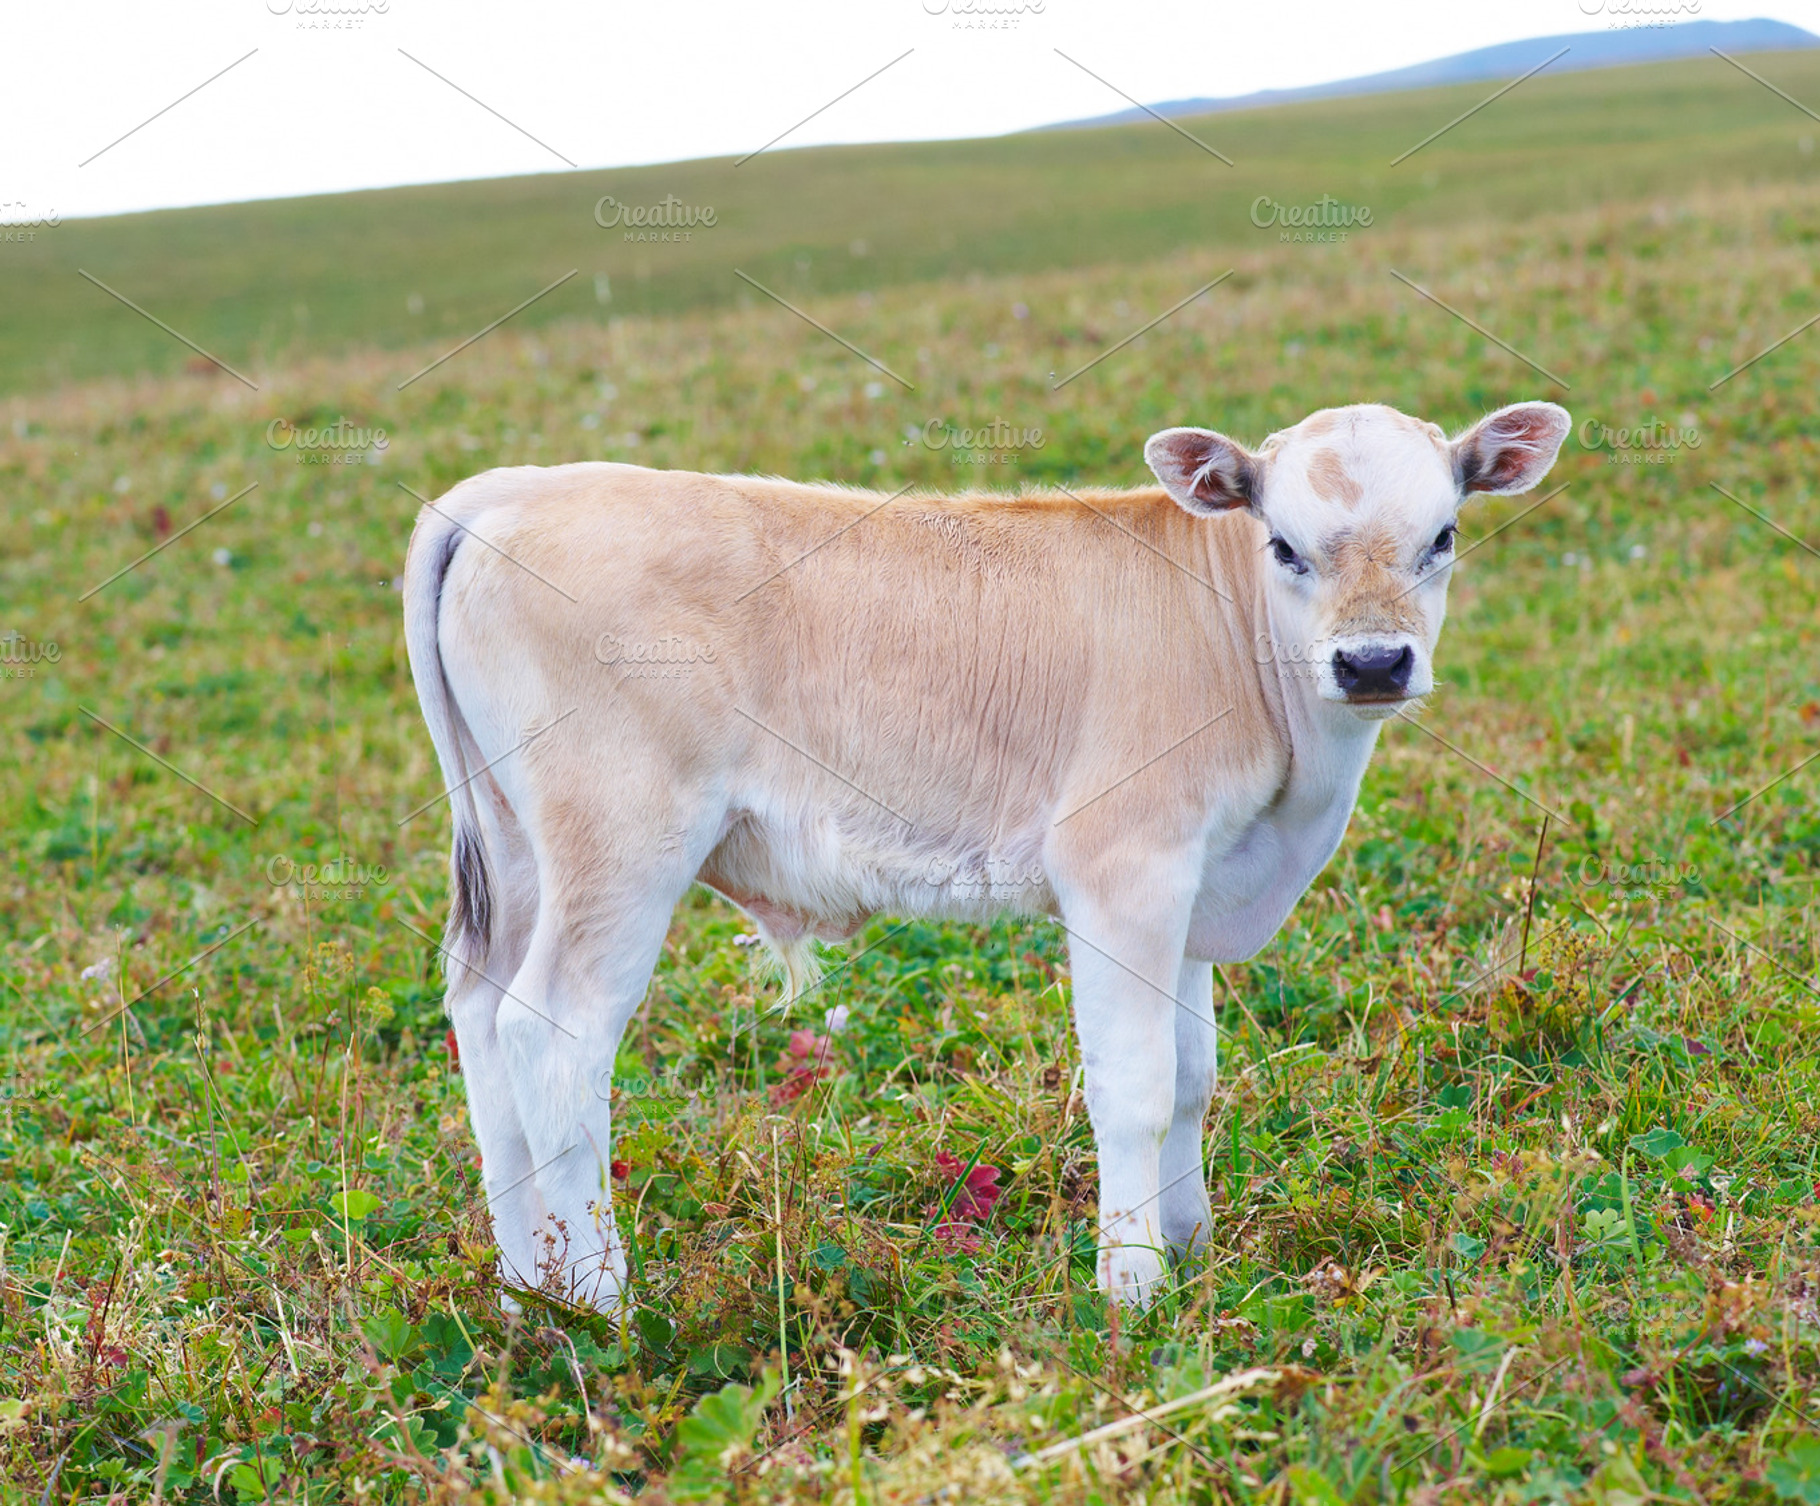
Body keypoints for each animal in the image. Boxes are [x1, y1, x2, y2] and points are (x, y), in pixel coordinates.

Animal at [401, 400, 1571, 1310]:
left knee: (481, 1022)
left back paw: (529, 1290)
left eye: (1443, 535)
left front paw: (1190, 1250)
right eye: (1283, 544)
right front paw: (1131, 1287)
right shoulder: (1122, 866)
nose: (1372, 663)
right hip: (619, 844)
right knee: (551, 1035)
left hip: (516, 849)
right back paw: (603, 1308)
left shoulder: (1198, 885)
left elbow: (1195, 1076)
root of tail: (508, 492)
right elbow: (1136, 1084)